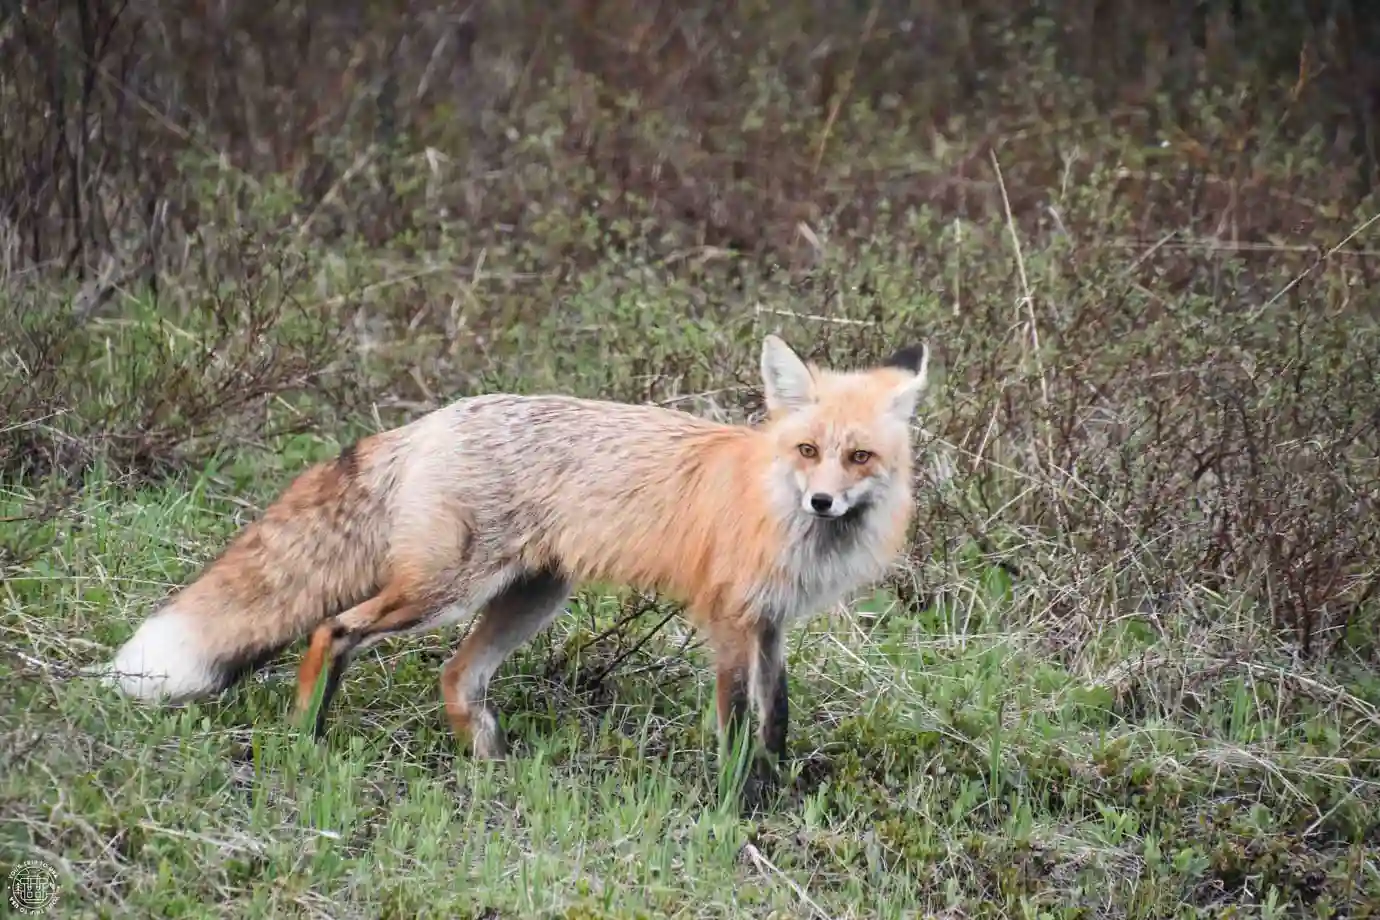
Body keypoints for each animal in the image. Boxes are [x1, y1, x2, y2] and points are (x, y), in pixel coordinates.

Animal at [101, 334, 930, 770]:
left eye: (858, 457)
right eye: (808, 451)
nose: (823, 501)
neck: (779, 508)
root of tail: (431, 419)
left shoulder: (771, 625)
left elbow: (776, 718)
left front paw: (778, 789)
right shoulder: (728, 619)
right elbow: (733, 726)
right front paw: (736, 804)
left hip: (529, 599)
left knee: (455, 677)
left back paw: (489, 767)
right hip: (445, 590)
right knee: (331, 629)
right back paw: (306, 736)